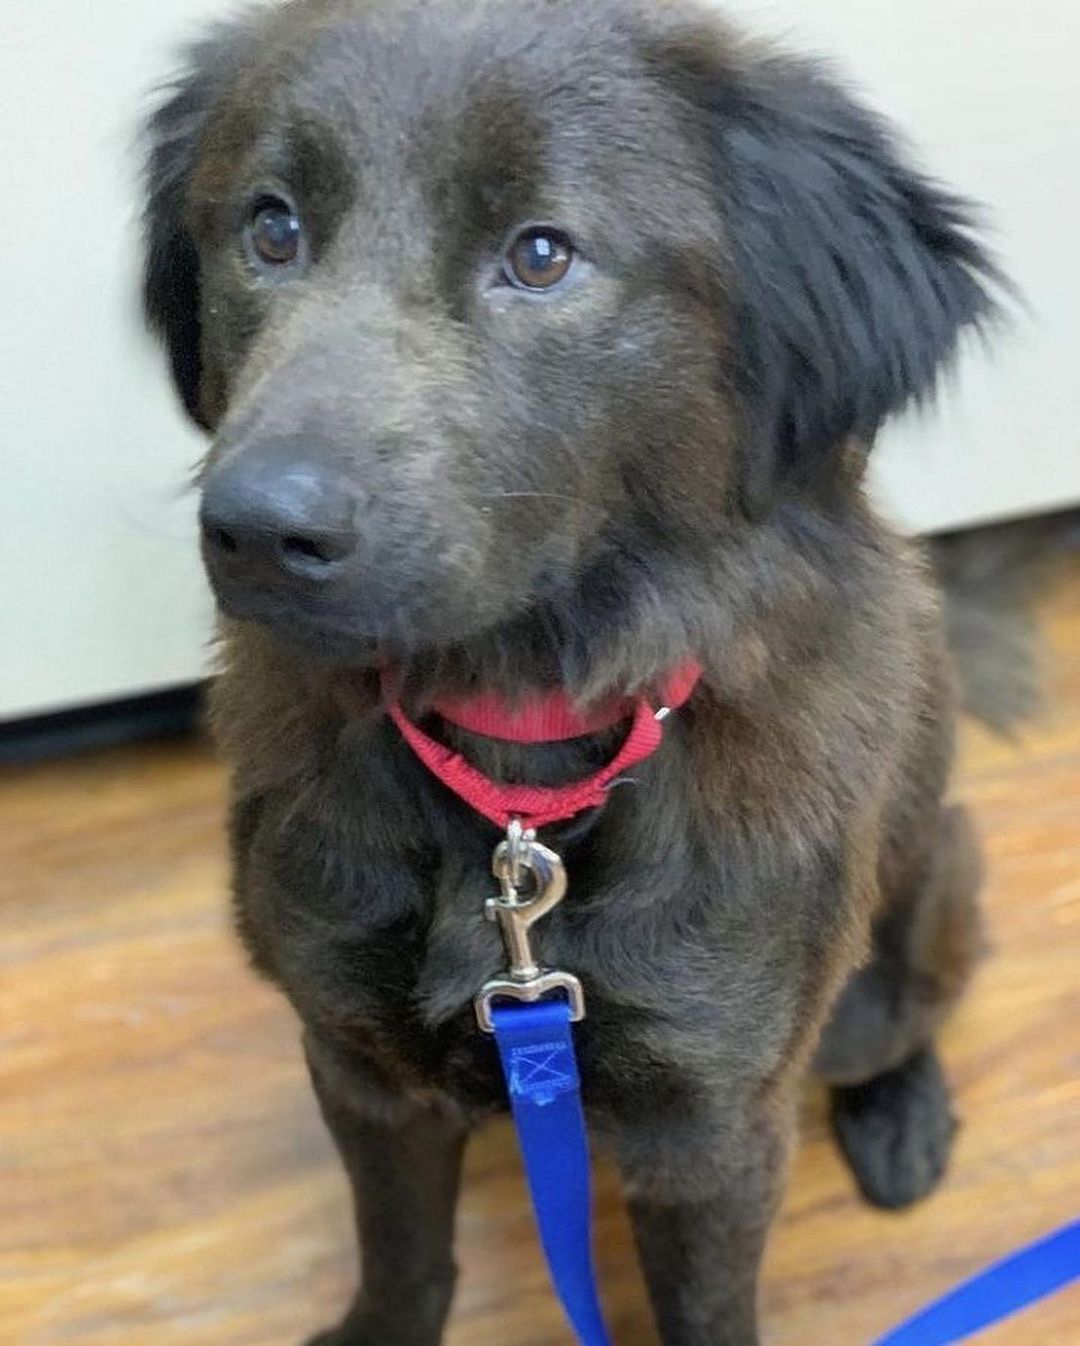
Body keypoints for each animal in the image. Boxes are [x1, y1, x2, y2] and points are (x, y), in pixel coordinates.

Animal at [138, 5, 996, 1340]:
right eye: (270, 228)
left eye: (542, 254)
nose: (256, 533)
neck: (515, 780)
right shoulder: (357, 1062)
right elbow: (401, 1254)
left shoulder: (710, 1125)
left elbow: (705, 1310)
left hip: (889, 947)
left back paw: (902, 1113)